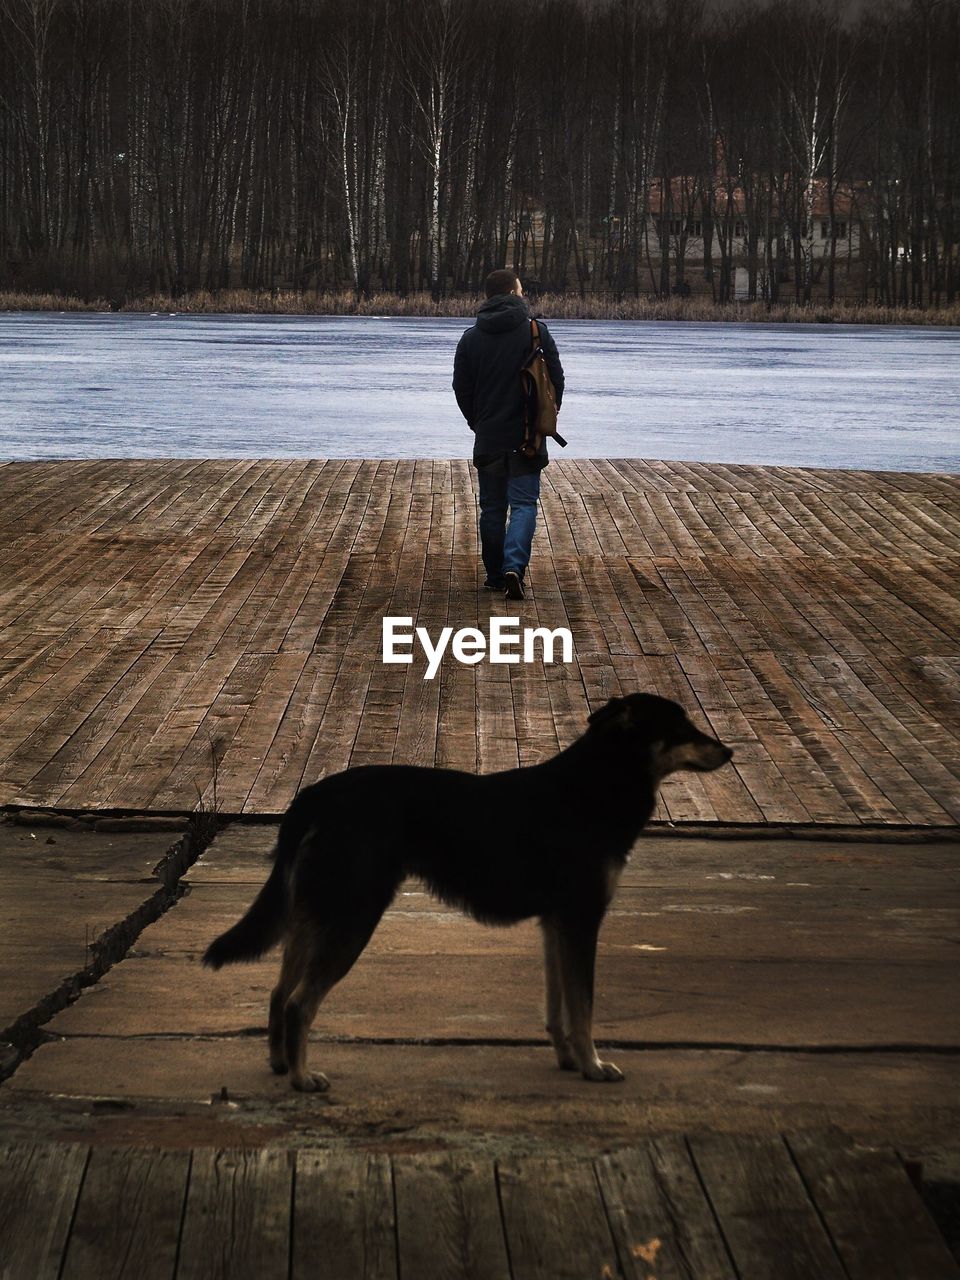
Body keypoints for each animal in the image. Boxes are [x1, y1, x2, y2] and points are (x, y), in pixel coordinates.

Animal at [203, 691, 727, 1090]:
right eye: (682, 728)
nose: (730, 751)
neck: (597, 785)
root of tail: (313, 795)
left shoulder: (557, 926)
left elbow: (558, 1006)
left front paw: (569, 1060)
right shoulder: (581, 921)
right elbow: (583, 1007)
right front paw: (593, 1067)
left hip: (316, 914)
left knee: (278, 993)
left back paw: (281, 1065)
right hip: (351, 919)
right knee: (299, 1004)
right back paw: (302, 1078)